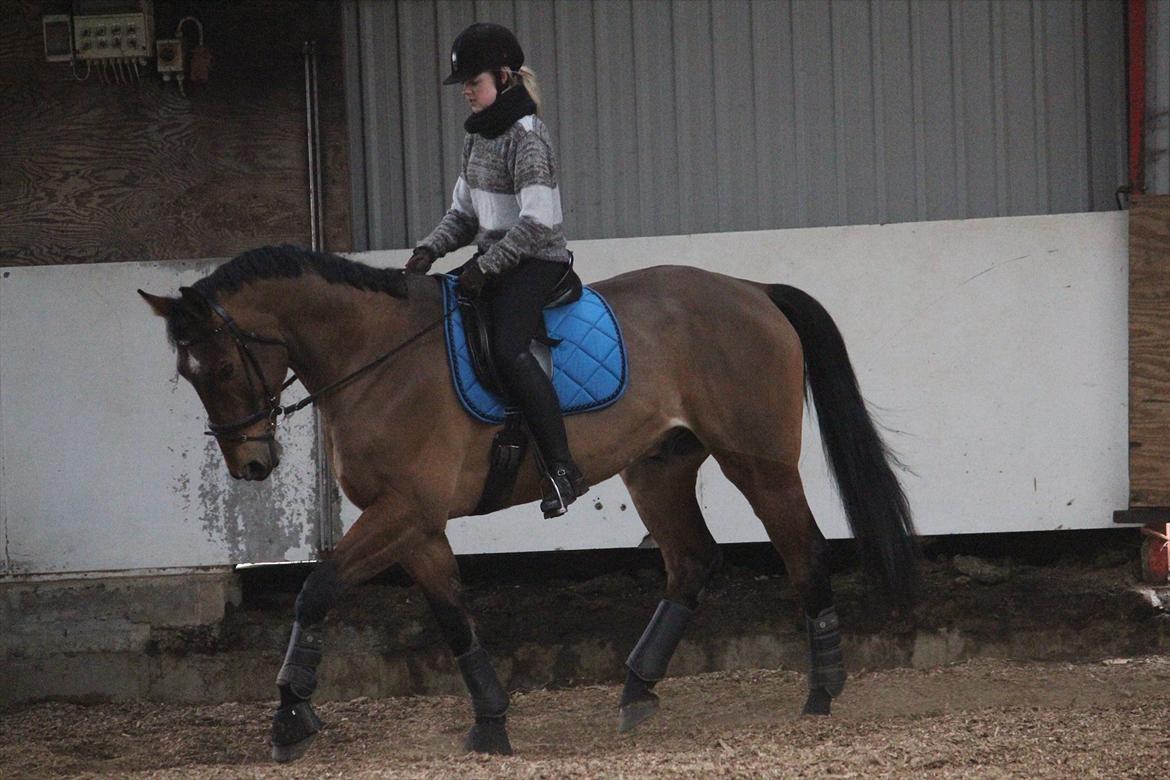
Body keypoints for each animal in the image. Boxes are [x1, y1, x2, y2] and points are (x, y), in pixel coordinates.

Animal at [136, 245, 917, 762]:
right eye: (188, 374)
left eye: (225, 365)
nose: (252, 465)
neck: (377, 356)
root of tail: (753, 290)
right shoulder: (417, 527)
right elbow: (454, 617)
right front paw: (490, 722)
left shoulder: (403, 512)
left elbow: (316, 588)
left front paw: (291, 714)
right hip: (658, 468)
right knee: (693, 563)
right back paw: (637, 691)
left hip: (757, 461)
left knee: (803, 551)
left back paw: (822, 690)